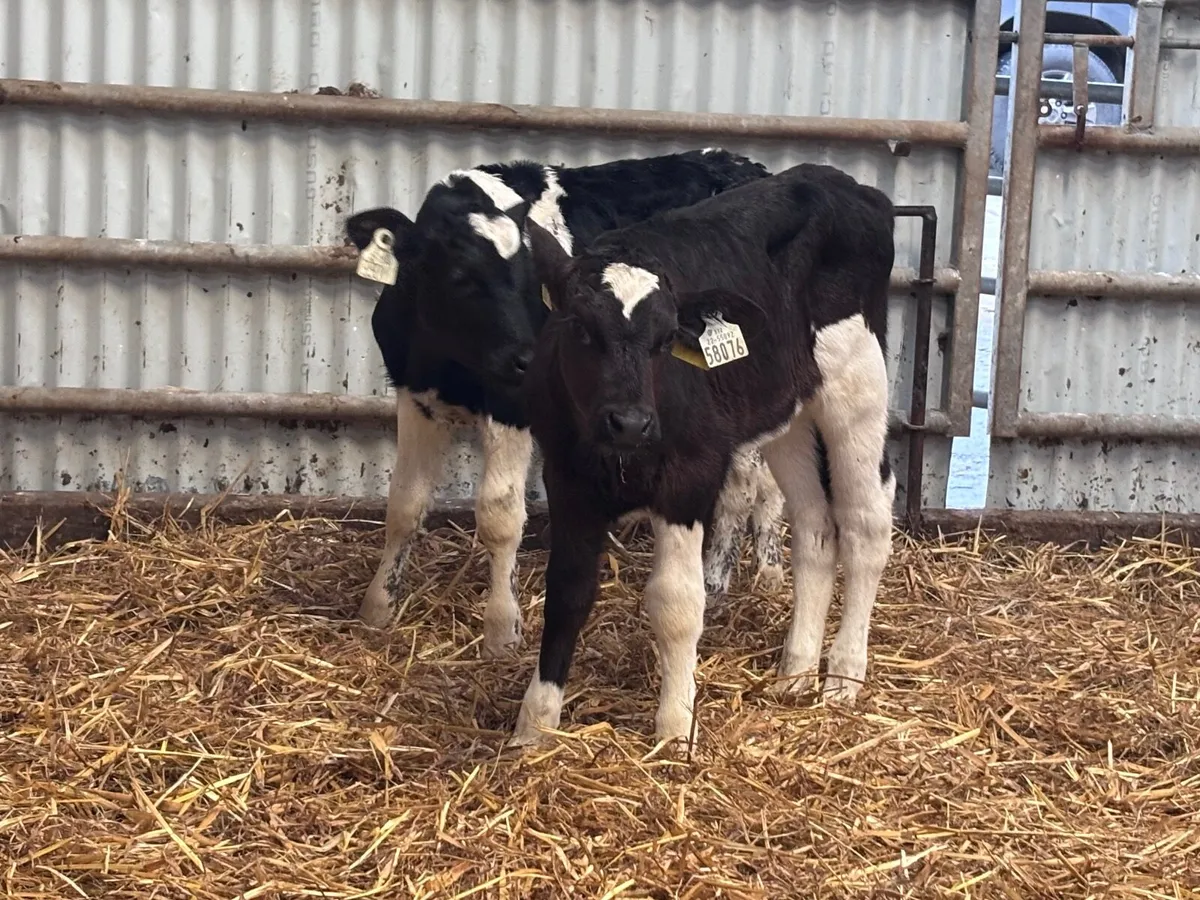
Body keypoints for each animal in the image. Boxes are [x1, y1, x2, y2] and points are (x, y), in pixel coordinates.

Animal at [344, 149, 786, 660]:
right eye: (459, 276)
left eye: (534, 281)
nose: (529, 356)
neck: (446, 360)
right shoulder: (415, 395)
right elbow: (404, 504)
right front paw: (377, 606)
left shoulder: (512, 406)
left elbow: (498, 514)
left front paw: (502, 628)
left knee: (748, 482)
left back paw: (732, 579)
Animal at [509, 162, 897, 746]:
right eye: (579, 327)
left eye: (668, 338)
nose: (630, 421)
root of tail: (838, 180)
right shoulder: (566, 475)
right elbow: (567, 592)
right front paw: (534, 725)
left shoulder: (688, 476)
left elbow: (676, 602)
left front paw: (674, 727)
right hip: (789, 414)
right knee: (815, 528)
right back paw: (796, 671)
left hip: (857, 385)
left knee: (865, 524)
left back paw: (843, 677)